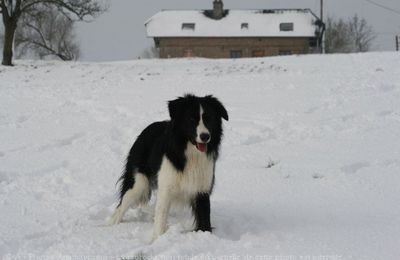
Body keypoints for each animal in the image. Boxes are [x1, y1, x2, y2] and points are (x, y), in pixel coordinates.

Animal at [109, 93, 228, 240]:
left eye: (209, 118)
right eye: (191, 119)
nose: (205, 136)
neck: (191, 154)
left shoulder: (202, 189)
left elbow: (204, 220)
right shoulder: (166, 188)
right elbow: (160, 217)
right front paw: (157, 239)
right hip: (138, 183)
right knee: (121, 208)